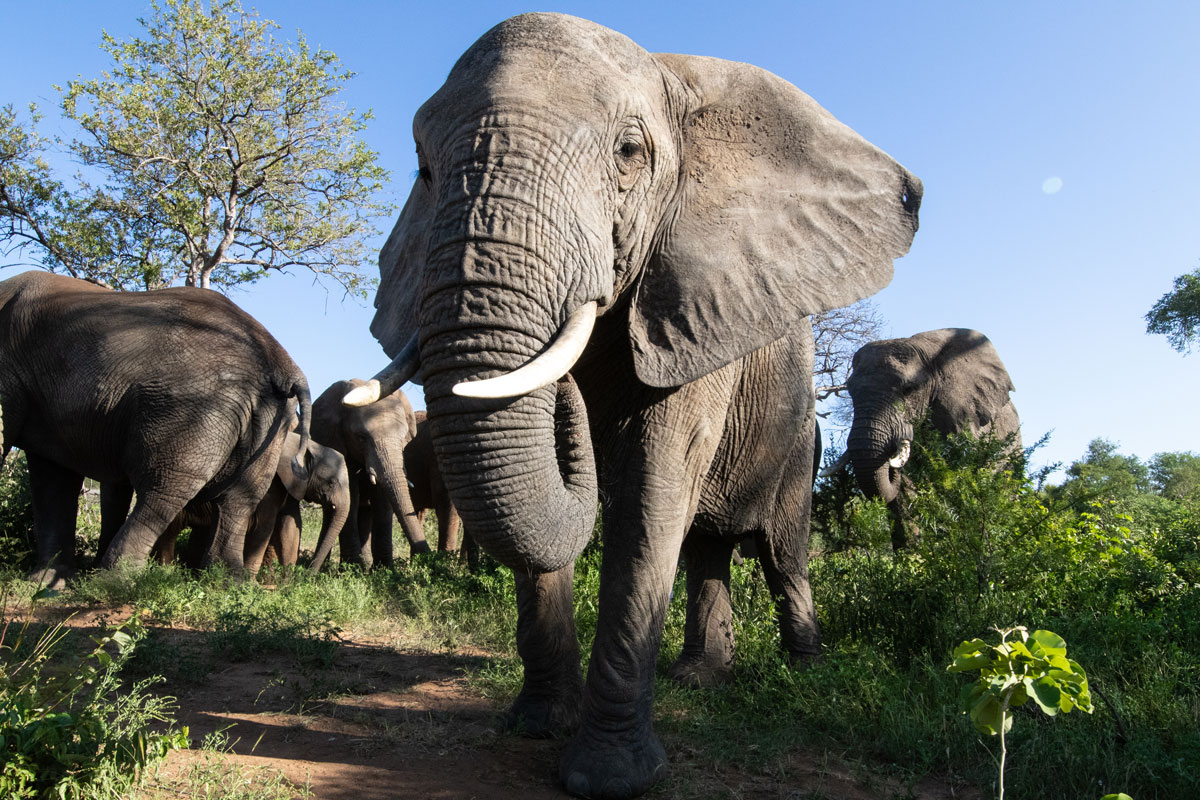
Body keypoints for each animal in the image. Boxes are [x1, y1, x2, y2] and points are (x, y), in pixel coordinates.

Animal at [0, 271, 310, 588]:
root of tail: (283, 365)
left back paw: (112, 581)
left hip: (195, 409)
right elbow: (53, 476)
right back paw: (227, 582)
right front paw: (45, 583)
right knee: (239, 498)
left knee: (163, 488)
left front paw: (46, 584)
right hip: (268, 418)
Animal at [311, 380, 430, 567]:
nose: (429, 558)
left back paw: (366, 565)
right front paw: (351, 568)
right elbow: (351, 496)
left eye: (403, 437)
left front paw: (384, 568)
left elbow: (382, 499)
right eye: (360, 437)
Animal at [350, 14, 920, 798]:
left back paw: (807, 675)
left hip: (799, 441)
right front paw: (537, 726)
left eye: (628, 154)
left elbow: (654, 487)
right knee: (709, 547)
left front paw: (610, 777)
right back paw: (699, 680)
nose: (567, 406)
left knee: (783, 553)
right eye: (423, 169)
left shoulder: (697, 311)